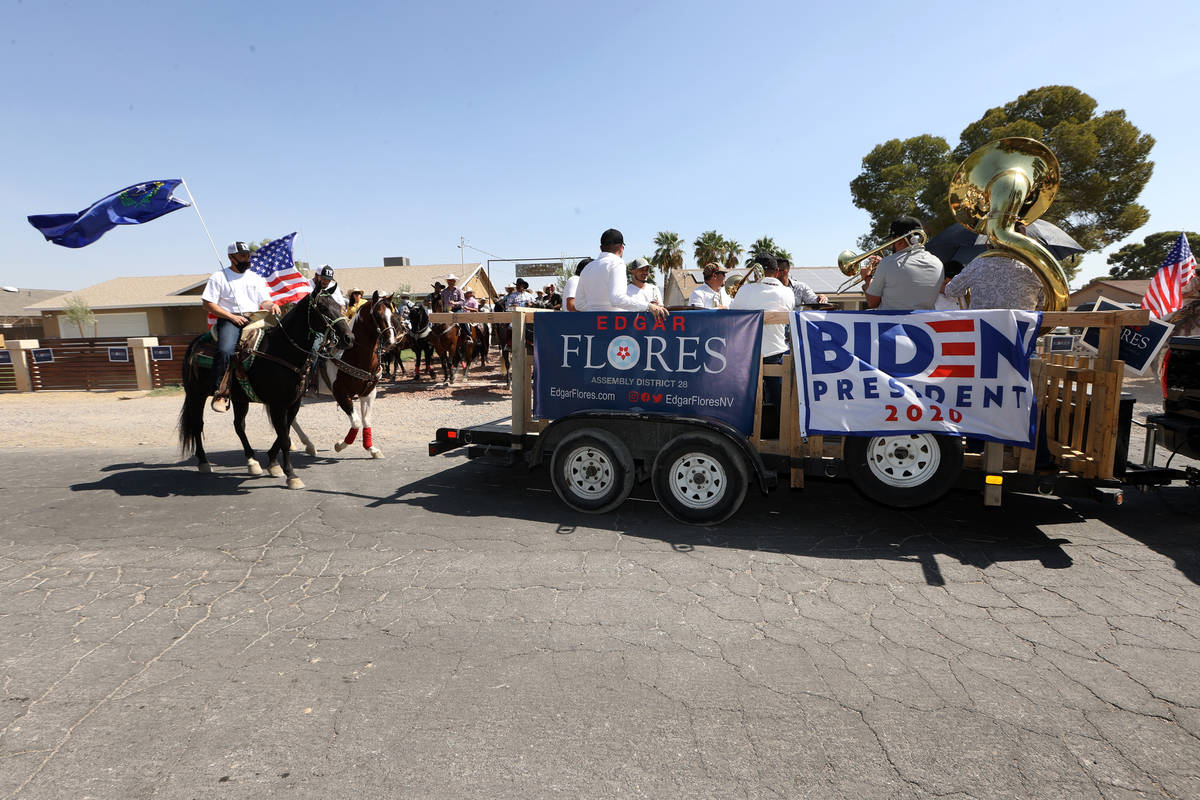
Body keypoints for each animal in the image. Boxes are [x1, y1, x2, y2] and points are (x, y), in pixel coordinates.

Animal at [175, 291, 350, 484]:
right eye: (323, 308)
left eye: (339, 306)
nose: (349, 338)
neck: (281, 351)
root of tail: (195, 343)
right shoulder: (277, 404)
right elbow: (284, 438)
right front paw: (291, 475)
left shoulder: (294, 403)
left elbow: (284, 433)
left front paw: (273, 463)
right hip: (195, 395)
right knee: (197, 424)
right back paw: (204, 462)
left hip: (239, 399)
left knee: (239, 426)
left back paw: (252, 462)